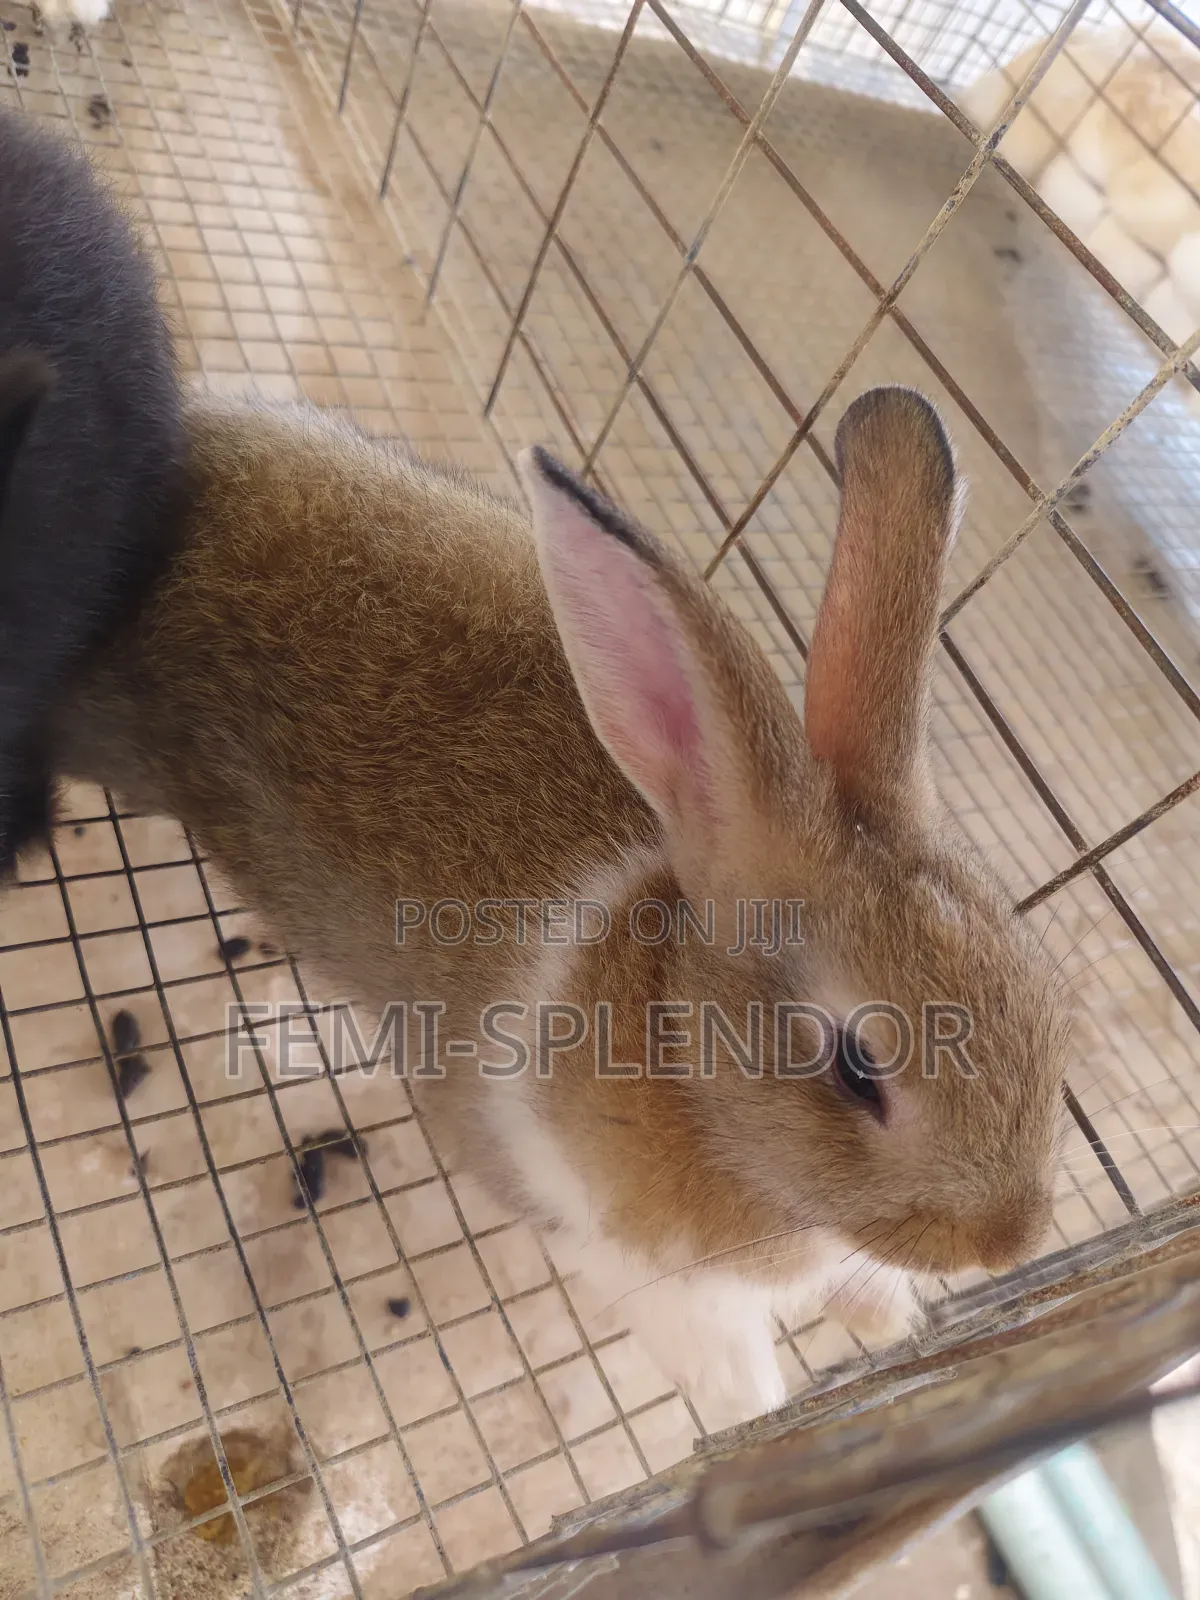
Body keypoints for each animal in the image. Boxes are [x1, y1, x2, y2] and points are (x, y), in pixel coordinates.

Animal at [47, 384, 1074, 1425]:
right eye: (860, 1069)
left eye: (1046, 1003)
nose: (1009, 1242)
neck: (681, 1043)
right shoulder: (608, 1248)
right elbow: (717, 1353)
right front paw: (758, 1406)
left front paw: (893, 1316)